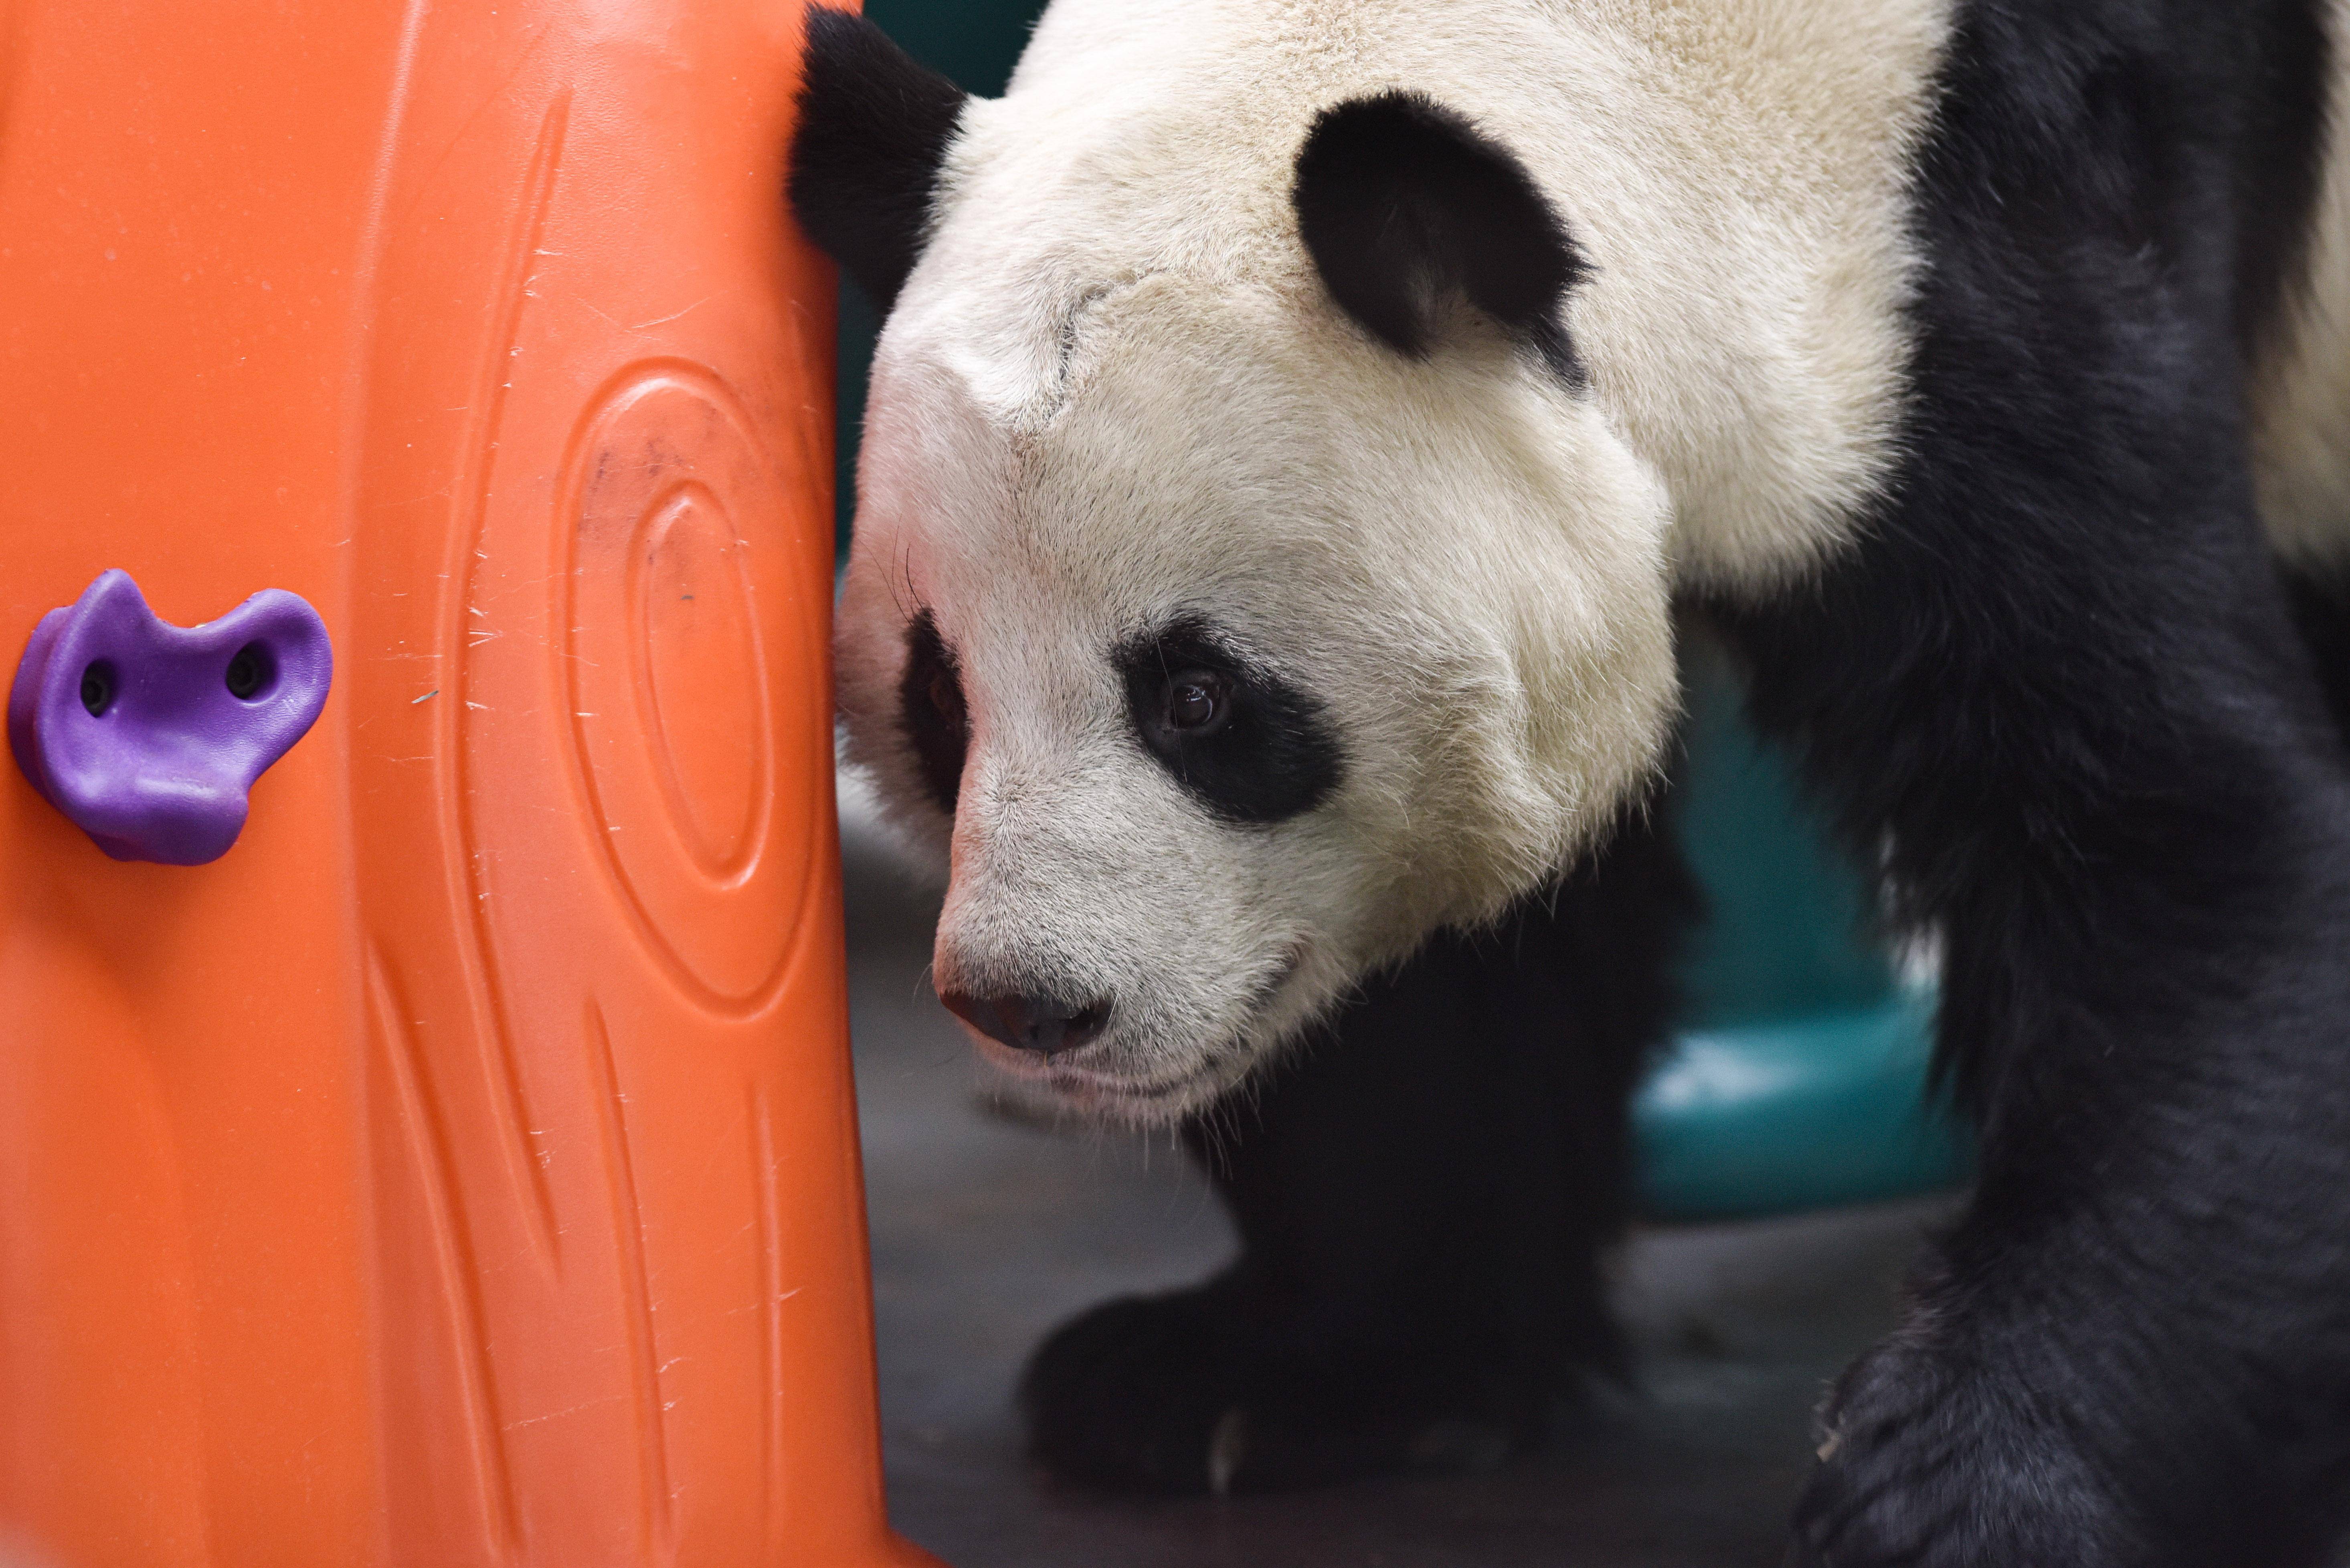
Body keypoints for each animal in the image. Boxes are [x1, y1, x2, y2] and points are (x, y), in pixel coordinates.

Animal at [785, 6, 2350, 1561]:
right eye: (944, 699)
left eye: (1197, 697)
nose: (1028, 1004)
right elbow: (1452, 982)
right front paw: (1265, 1374)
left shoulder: (1988, 253)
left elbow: (2178, 845)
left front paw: (1955, 1485)